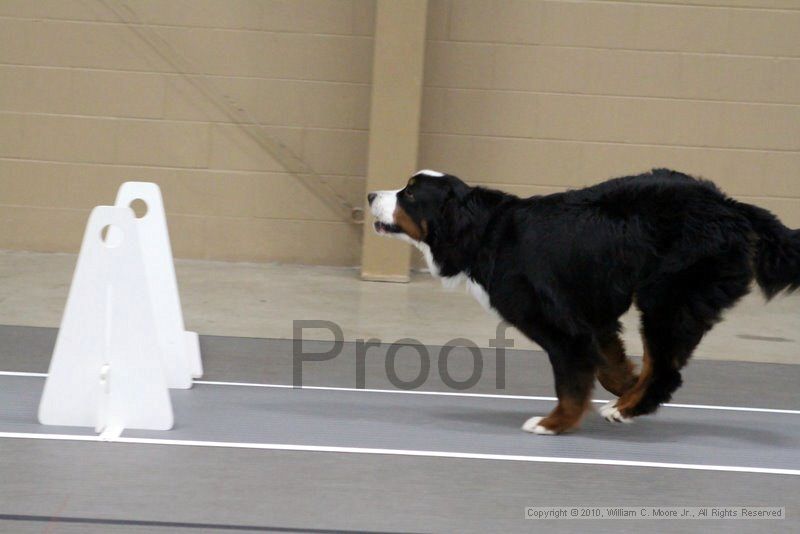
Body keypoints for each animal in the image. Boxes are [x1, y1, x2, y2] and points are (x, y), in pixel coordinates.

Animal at [368, 171, 800, 436]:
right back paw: (631, 401)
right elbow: (608, 363)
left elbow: (571, 381)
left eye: (409, 193)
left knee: (666, 369)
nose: (371, 194)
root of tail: (730, 207)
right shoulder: (592, 317)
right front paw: (625, 384)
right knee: (659, 365)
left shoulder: (561, 328)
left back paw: (624, 410)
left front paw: (555, 422)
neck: (486, 233)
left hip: (669, 299)